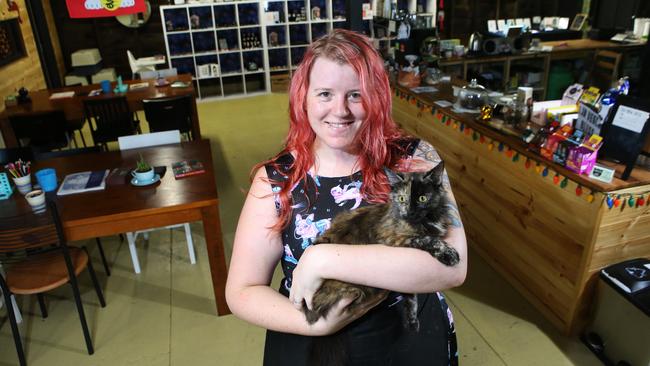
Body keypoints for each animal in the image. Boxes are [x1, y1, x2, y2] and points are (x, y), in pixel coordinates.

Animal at [302, 162, 458, 330]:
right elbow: (427, 239)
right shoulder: (391, 238)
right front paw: (449, 254)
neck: (426, 220)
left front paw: (411, 319)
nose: (410, 212)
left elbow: (410, 293)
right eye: (402, 198)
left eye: (422, 198)